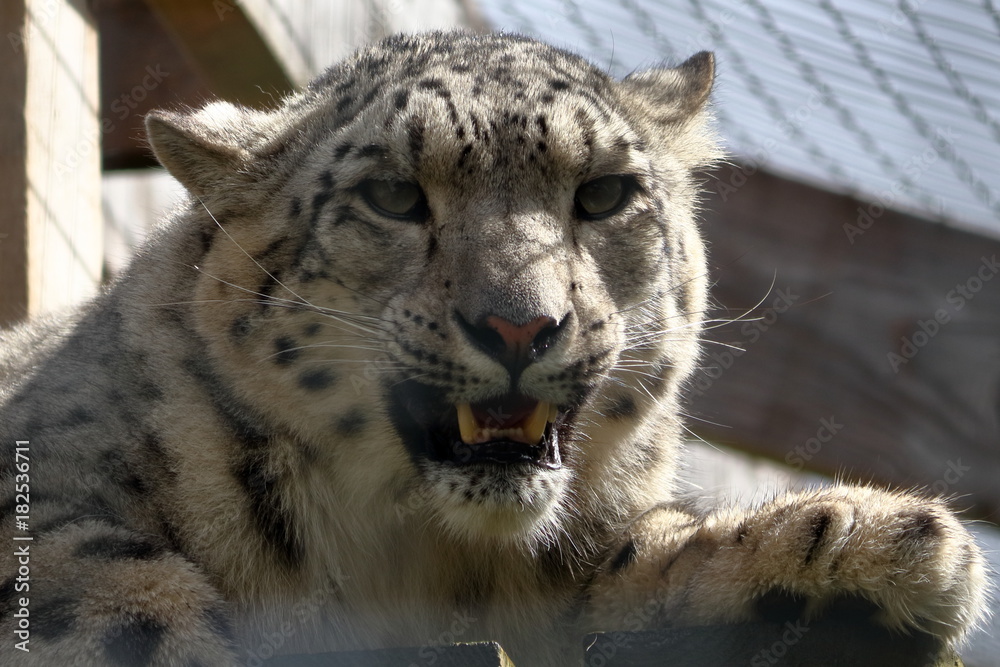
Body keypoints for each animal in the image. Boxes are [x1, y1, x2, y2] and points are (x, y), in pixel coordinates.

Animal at [0, 30, 987, 666]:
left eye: (604, 193)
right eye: (393, 195)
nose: (521, 325)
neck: (427, 563)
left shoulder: (572, 568)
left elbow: (639, 558)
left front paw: (870, 539)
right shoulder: (50, 503)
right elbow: (115, 602)